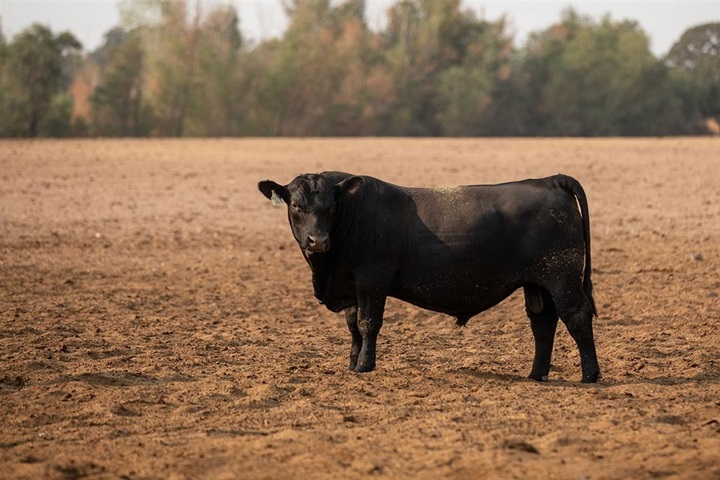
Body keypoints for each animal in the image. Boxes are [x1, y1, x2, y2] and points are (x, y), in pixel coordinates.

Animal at [258, 172, 600, 382]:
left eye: (330, 206)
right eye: (296, 205)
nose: (317, 240)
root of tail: (549, 181)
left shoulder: (372, 279)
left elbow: (369, 323)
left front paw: (365, 365)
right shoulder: (350, 286)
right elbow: (353, 326)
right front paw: (353, 363)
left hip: (562, 278)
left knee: (576, 317)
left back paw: (590, 375)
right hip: (537, 284)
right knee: (543, 323)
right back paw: (536, 374)